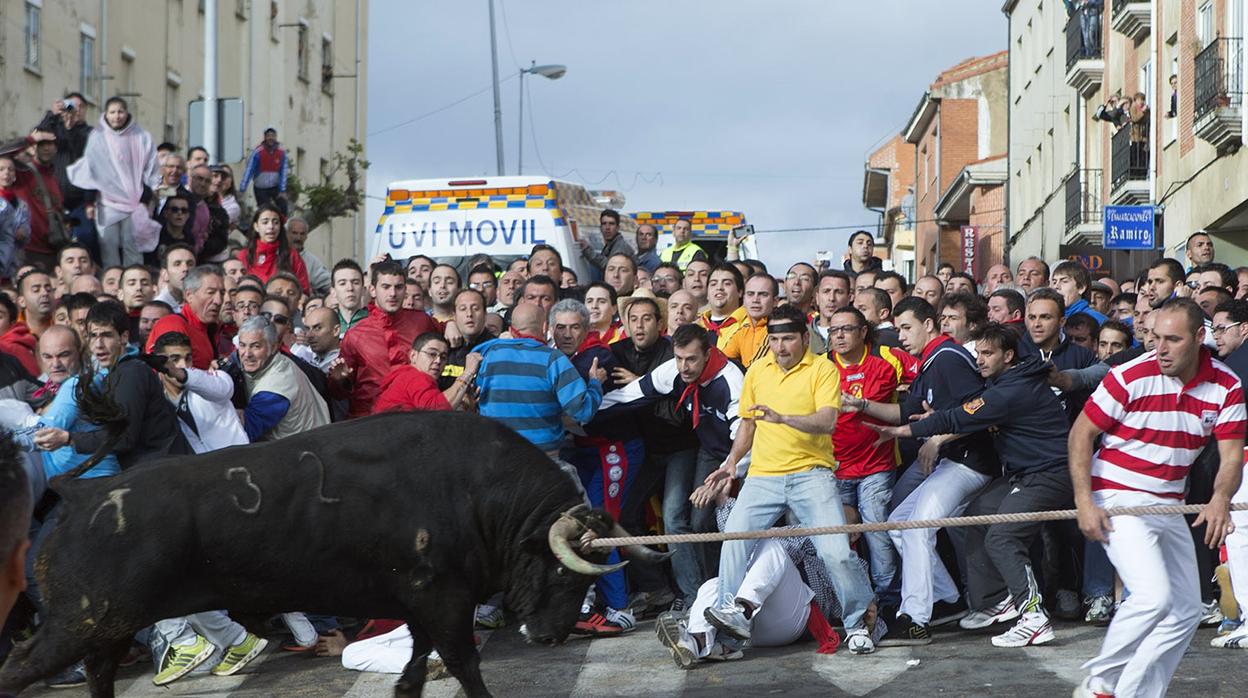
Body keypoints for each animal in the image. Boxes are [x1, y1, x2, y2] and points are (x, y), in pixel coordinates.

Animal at [0, 412, 663, 698]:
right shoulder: (442, 602)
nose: (550, 637)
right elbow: (464, 665)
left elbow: (416, 669)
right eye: (562, 571)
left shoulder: (424, 606)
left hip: (106, 629)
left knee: (98, 675)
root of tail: (83, 494)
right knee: (20, 669)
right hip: (81, 621)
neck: (478, 491)